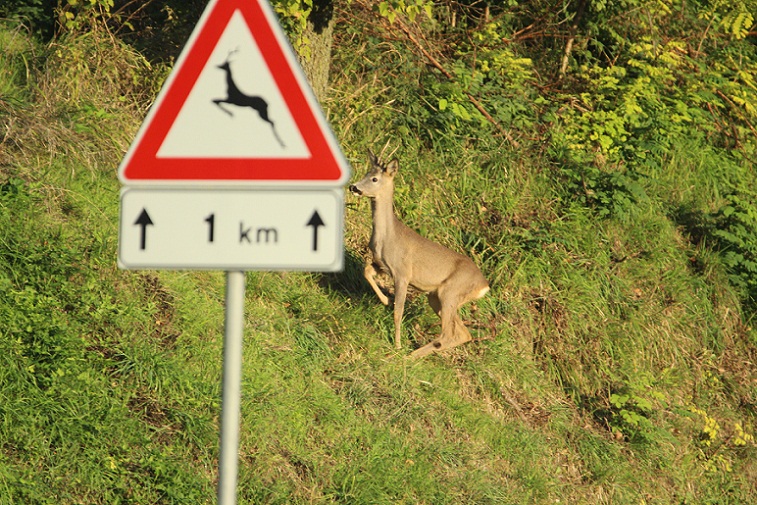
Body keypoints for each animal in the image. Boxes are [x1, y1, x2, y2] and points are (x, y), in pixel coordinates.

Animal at [350, 152, 490, 356]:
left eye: (374, 179)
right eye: (367, 173)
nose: (354, 187)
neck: (386, 237)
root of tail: (484, 285)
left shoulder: (403, 273)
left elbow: (398, 311)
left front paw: (397, 345)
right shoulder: (382, 265)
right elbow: (366, 271)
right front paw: (385, 299)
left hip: (450, 293)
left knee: (448, 333)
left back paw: (410, 355)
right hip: (437, 297)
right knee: (463, 333)